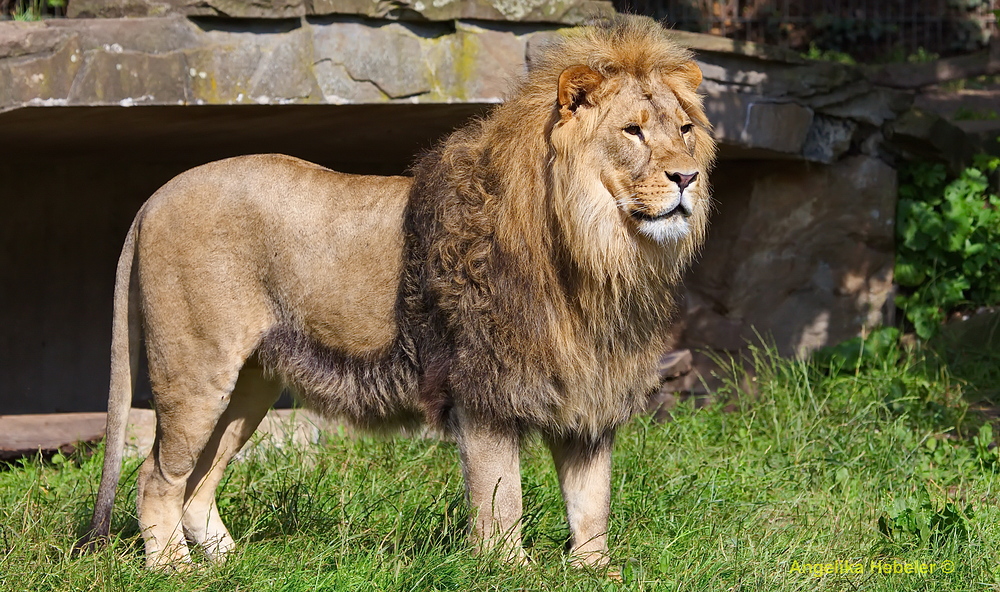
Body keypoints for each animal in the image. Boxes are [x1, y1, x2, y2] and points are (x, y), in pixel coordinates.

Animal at [84, 13, 712, 568]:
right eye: (633, 130)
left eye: (684, 130)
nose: (687, 177)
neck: (599, 255)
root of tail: (156, 194)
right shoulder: (482, 388)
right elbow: (501, 498)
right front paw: (509, 569)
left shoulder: (588, 393)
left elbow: (591, 502)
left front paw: (595, 570)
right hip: (194, 369)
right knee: (157, 475)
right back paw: (173, 568)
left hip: (249, 384)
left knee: (198, 479)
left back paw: (227, 562)